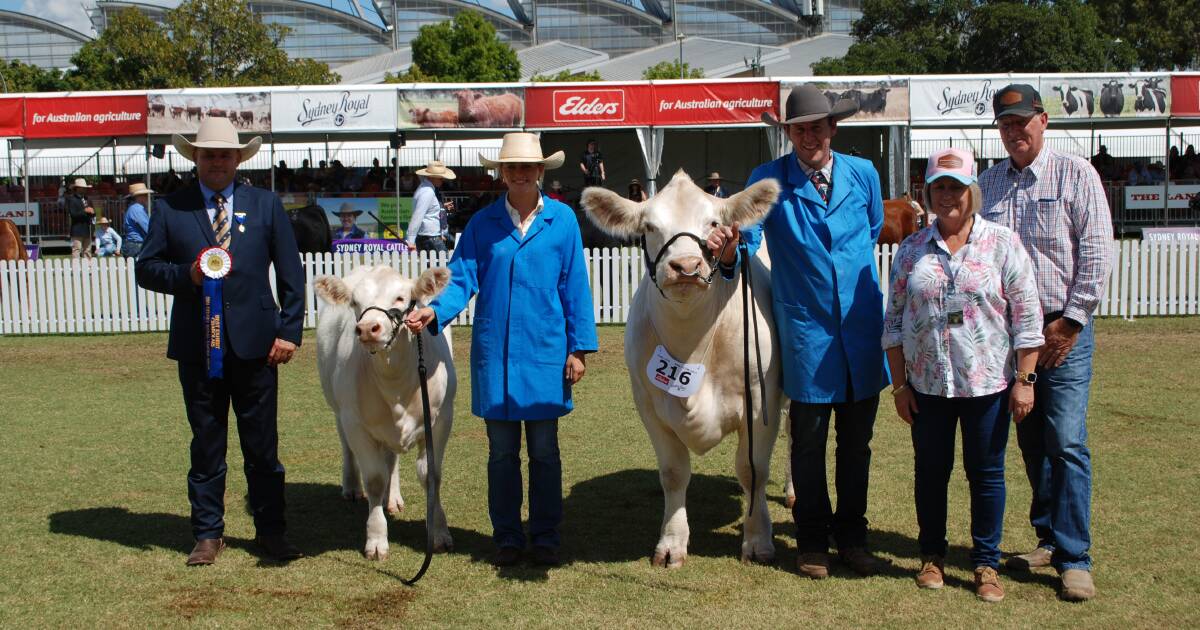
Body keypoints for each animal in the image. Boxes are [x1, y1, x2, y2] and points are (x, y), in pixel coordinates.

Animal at [312, 262, 456, 556]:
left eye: (400, 298)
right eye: (355, 302)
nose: (368, 328)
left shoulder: (441, 419)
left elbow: (431, 475)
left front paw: (438, 531)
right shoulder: (355, 422)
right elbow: (375, 478)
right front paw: (377, 538)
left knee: (392, 458)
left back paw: (394, 498)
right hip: (338, 409)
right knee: (348, 447)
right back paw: (352, 487)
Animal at [583, 170, 787, 564]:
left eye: (714, 223)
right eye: (649, 226)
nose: (686, 267)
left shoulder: (761, 402)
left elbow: (752, 469)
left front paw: (757, 540)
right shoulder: (648, 405)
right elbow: (674, 473)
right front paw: (671, 544)